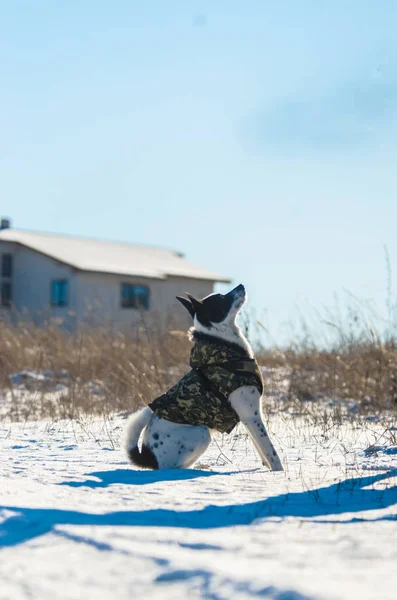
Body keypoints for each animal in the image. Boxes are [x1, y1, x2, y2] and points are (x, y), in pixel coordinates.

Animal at [123, 286, 282, 474]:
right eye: (221, 298)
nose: (241, 286)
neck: (221, 344)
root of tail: (148, 457)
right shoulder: (251, 415)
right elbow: (270, 450)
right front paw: (280, 473)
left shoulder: (249, 418)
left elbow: (260, 447)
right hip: (201, 434)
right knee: (175, 467)